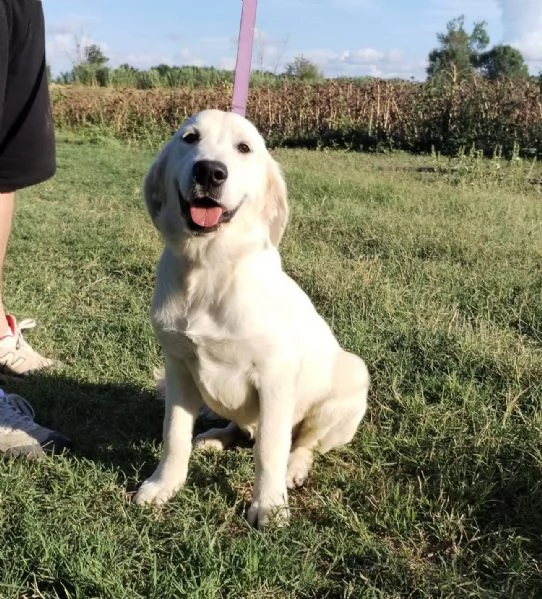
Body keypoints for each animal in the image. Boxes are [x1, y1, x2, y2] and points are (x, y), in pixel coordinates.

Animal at [134, 110, 372, 528]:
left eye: (244, 148)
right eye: (189, 138)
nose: (210, 172)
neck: (209, 266)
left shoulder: (274, 375)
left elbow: (270, 449)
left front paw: (269, 505)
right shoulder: (178, 365)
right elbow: (174, 434)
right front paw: (164, 485)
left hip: (352, 377)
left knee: (303, 443)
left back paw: (294, 469)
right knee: (241, 426)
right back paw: (214, 437)